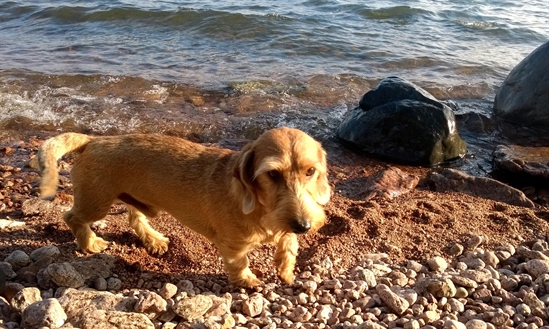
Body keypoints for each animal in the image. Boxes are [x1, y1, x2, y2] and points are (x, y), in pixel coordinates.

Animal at [39, 127, 330, 286]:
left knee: (134, 218)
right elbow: (239, 262)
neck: (260, 208)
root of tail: (93, 140)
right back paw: (89, 242)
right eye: (272, 174)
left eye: (310, 171)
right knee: (72, 217)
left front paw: (286, 268)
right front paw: (247, 280)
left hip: (141, 201)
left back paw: (153, 239)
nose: (304, 225)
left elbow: (288, 241)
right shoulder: (233, 244)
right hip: (96, 202)